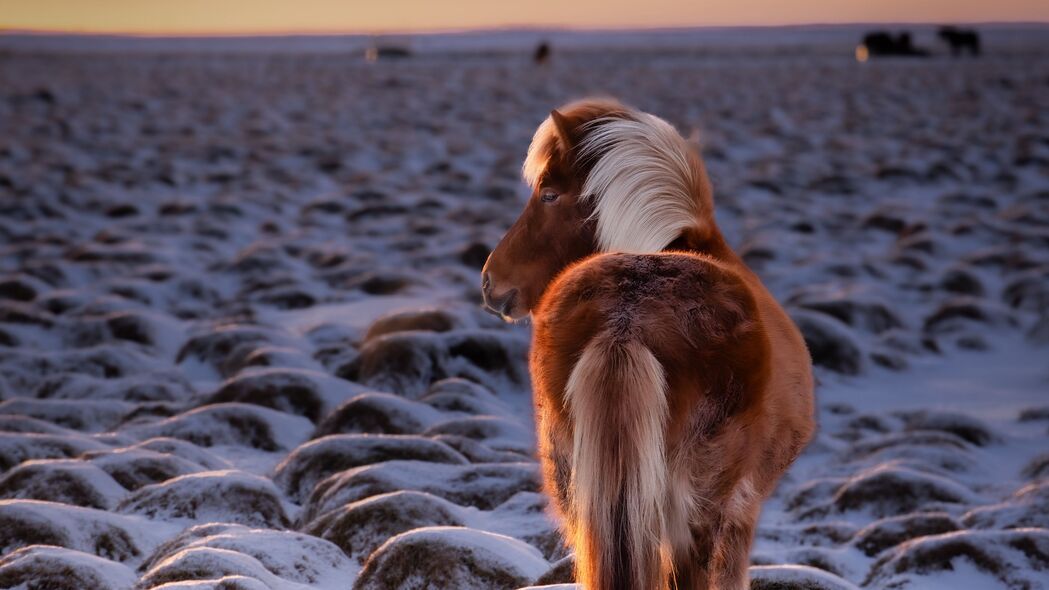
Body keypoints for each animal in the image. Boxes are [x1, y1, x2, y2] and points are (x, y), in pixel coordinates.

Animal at [482, 98, 818, 583]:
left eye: (548, 194)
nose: (491, 280)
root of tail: (626, 323)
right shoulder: (741, 516)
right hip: (695, 514)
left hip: (579, 496)